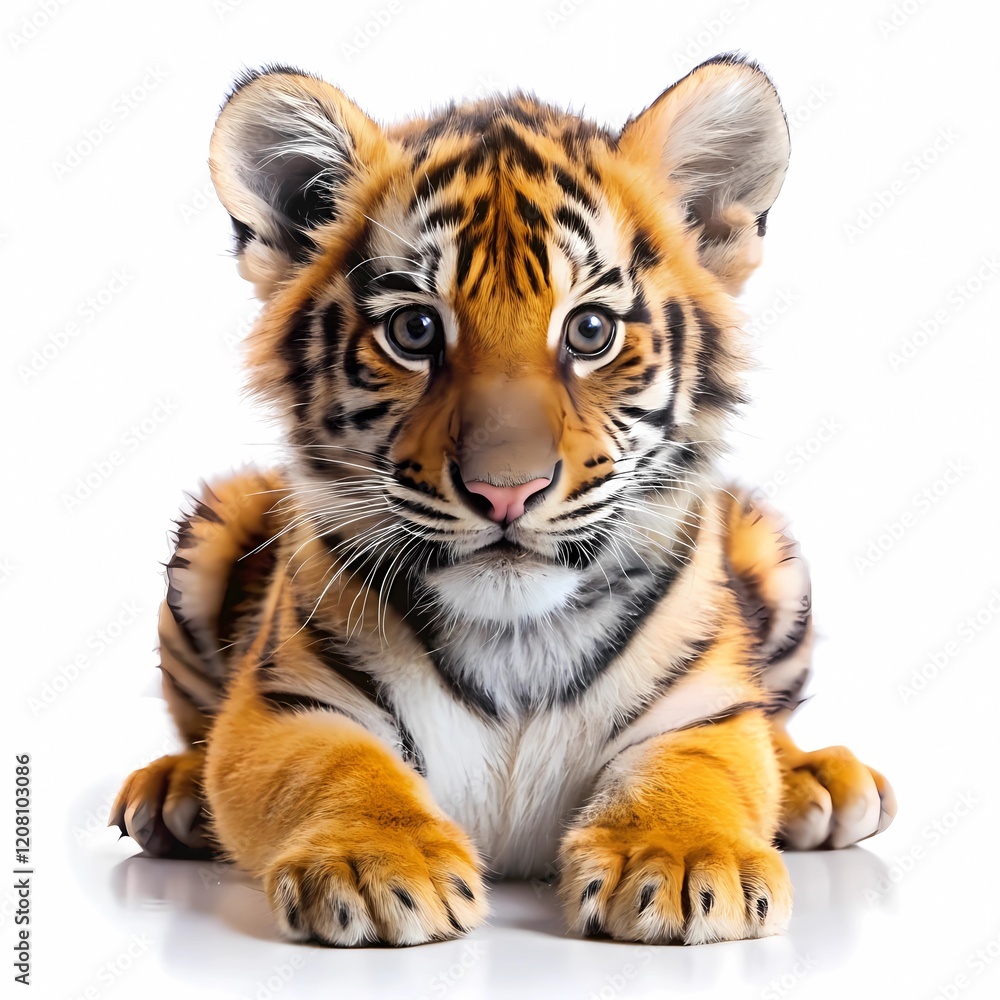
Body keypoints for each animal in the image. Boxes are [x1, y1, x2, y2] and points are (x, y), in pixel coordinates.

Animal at [110, 53, 896, 947]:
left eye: (589, 332)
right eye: (415, 332)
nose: (505, 490)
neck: (517, 638)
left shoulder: (699, 712)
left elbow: (701, 769)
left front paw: (679, 860)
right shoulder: (291, 704)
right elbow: (334, 768)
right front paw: (373, 864)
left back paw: (816, 780)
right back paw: (173, 790)